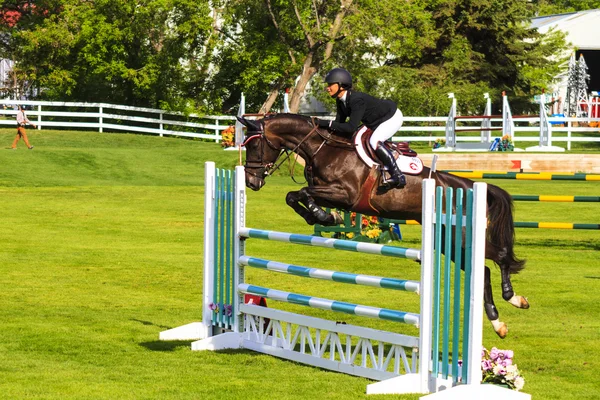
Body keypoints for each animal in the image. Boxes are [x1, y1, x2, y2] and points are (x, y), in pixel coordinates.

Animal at [237, 112, 528, 338]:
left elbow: (305, 193)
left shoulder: (345, 194)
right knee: (484, 271)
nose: (251, 182)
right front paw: (318, 217)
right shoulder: (330, 193)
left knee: (499, 257)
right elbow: (293, 195)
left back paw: (514, 298)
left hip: (459, 235)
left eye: (255, 145)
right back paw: (499, 322)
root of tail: (465, 186)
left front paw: (324, 216)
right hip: (447, 238)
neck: (325, 149)